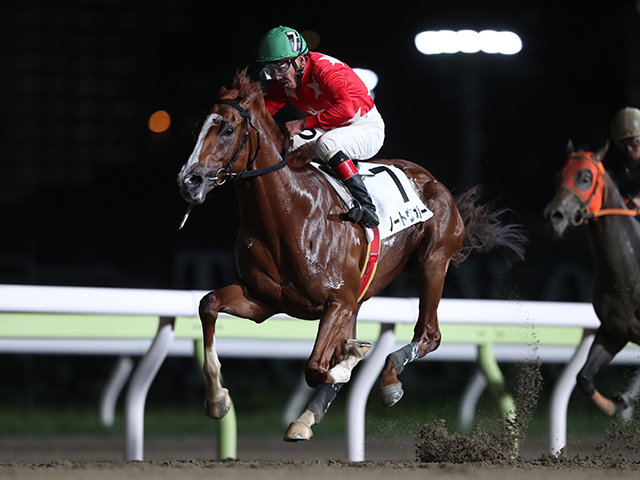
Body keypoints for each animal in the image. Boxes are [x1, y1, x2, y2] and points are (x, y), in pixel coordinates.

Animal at [176, 71, 524, 442]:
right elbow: (209, 304)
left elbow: (317, 367)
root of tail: (432, 180)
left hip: (433, 261)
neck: (289, 214)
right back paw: (308, 416)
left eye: (228, 129)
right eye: (197, 125)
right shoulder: (264, 300)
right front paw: (217, 400)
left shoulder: (338, 301)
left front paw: (351, 360)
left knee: (429, 334)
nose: (189, 180)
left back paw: (387, 378)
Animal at [544, 142, 640, 416]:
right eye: (559, 175)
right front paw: (617, 404)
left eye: (585, 177)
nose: (554, 216)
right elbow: (584, 378)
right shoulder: (613, 332)